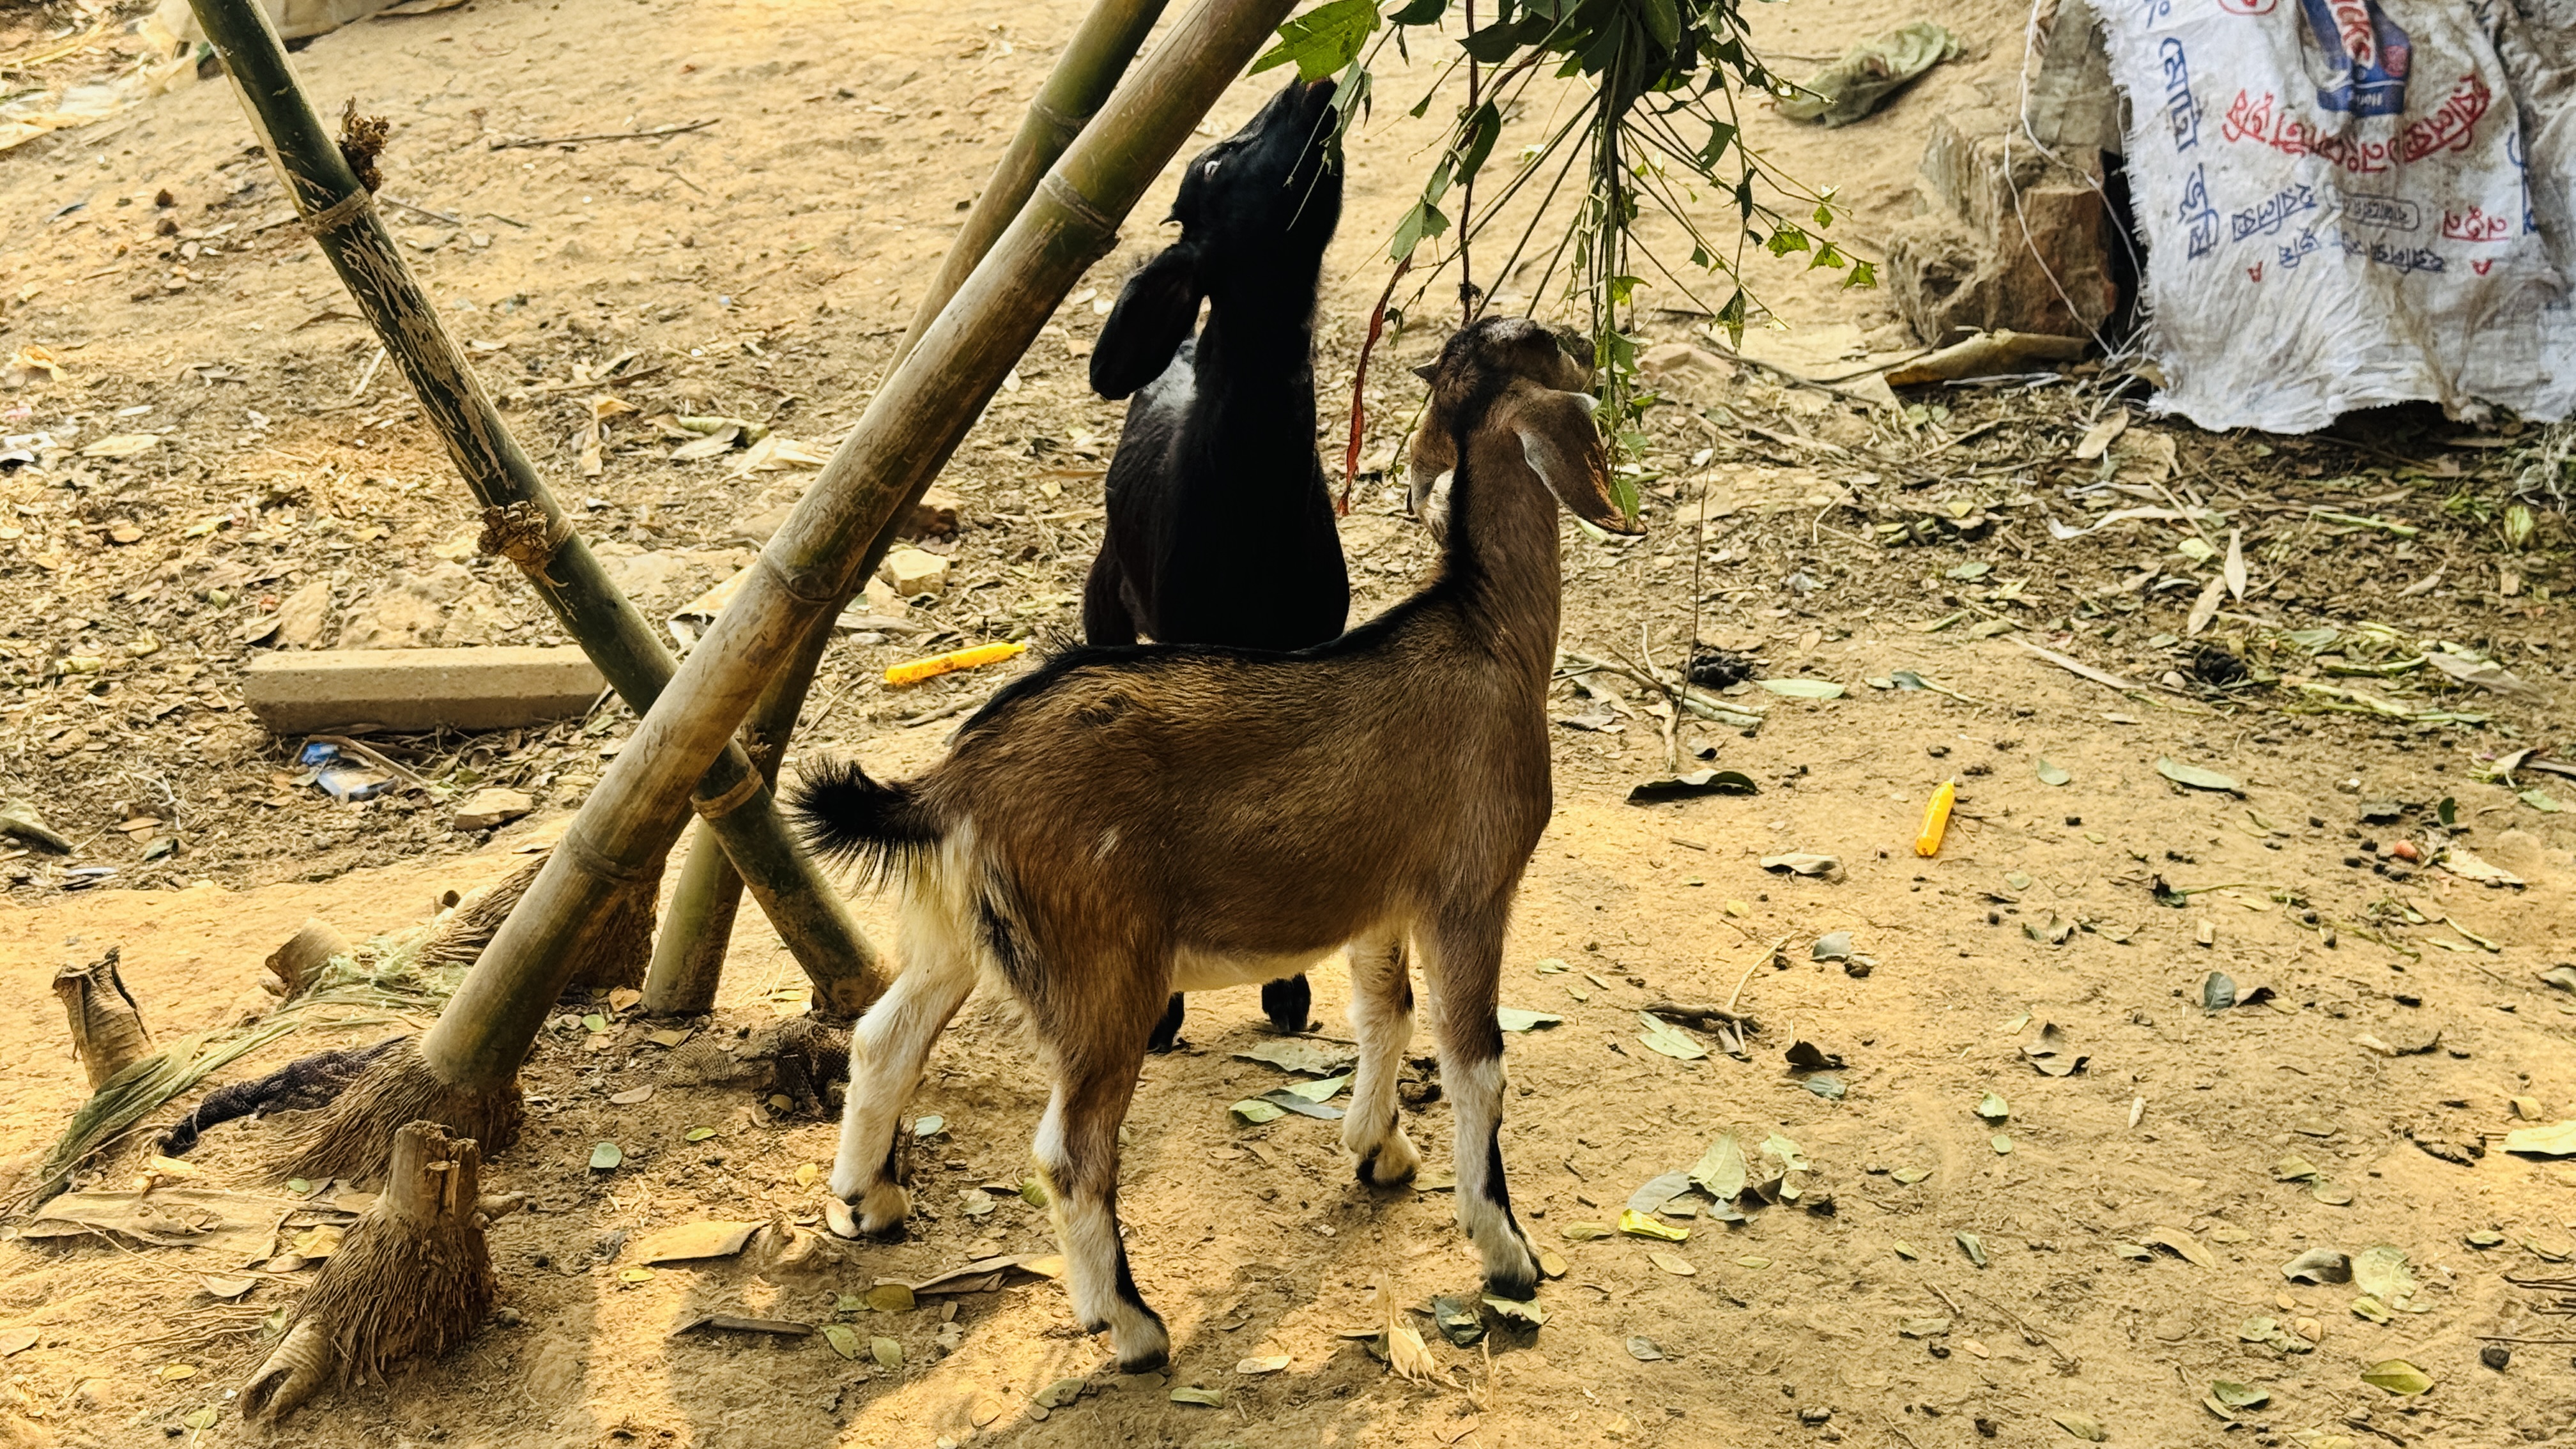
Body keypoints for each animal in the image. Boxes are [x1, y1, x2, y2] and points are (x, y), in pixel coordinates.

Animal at [789, 317, 1636, 1374]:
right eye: (1555, 346)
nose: (1599, 353)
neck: (1485, 633)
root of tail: (956, 785)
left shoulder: (1378, 900)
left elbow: (1384, 1016)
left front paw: (1380, 1154)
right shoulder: (1469, 891)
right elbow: (1476, 1061)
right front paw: (1509, 1254)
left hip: (955, 936)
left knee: (883, 1039)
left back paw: (873, 1203)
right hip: (1105, 971)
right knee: (1070, 1150)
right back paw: (1132, 1326)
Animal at [1086, 75, 1350, 1048]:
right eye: (1214, 161)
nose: (1313, 84)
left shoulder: (1308, 645)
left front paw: (1290, 990)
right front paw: (1162, 1010)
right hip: (1108, 598)